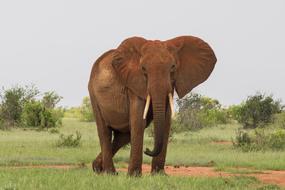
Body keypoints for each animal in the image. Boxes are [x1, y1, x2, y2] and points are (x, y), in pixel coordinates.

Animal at [87, 35, 216, 175]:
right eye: (143, 69)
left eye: (173, 67)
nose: (147, 150)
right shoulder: (134, 84)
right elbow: (139, 121)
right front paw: (134, 176)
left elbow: (165, 121)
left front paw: (159, 175)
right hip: (93, 94)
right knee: (104, 132)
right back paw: (109, 173)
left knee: (123, 136)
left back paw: (98, 168)